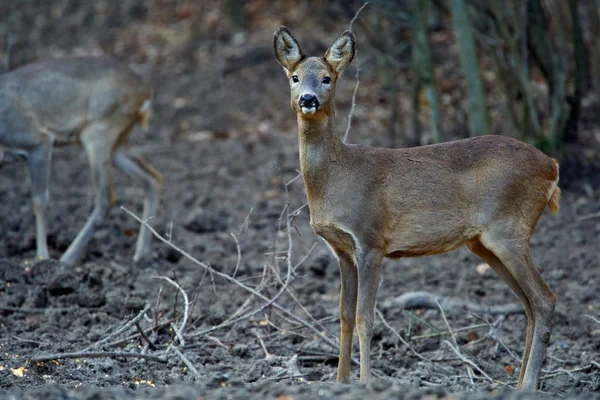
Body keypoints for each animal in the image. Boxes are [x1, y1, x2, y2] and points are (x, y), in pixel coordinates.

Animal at [0, 54, 162, 264]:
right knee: (153, 179)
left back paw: (67, 258)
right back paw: (141, 255)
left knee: (107, 197)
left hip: (99, 129)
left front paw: (42, 257)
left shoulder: (37, 140)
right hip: (117, 141)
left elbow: (39, 199)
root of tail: (145, 90)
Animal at [274, 25, 560, 390]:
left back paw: (527, 385)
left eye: (326, 78)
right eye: (295, 77)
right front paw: (340, 383)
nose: (307, 99)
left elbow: (365, 318)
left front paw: (366, 383)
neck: (337, 178)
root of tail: (551, 166)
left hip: (509, 229)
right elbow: (344, 316)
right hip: (485, 243)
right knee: (528, 305)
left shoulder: (370, 239)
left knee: (544, 300)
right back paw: (517, 385)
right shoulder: (342, 251)